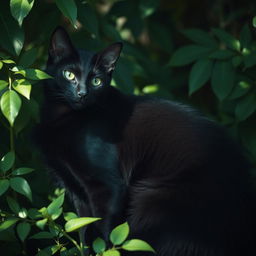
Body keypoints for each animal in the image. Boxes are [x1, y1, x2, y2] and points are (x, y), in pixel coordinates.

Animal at [36, 27, 256, 255]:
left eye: (96, 81)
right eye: (69, 74)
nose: (82, 93)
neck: (65, 118)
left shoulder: (107, 187)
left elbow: (105, 234)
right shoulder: (76, 191)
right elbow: (85, 231)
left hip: (153, 203)